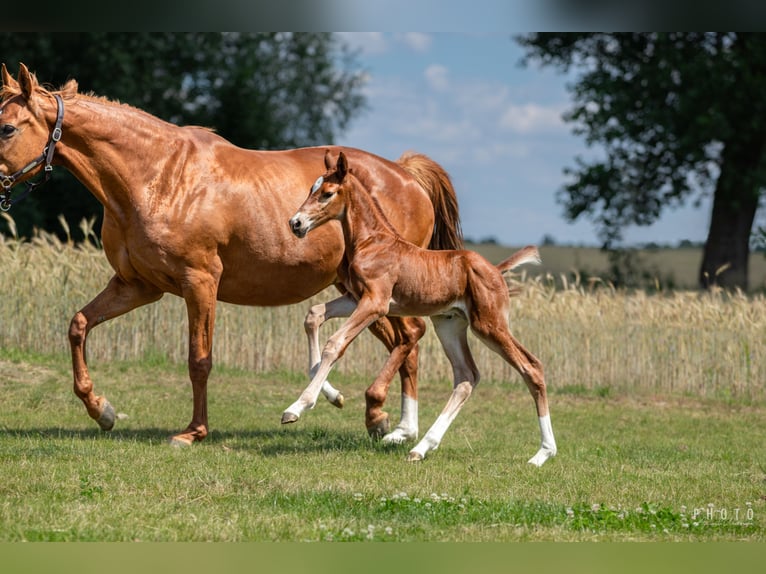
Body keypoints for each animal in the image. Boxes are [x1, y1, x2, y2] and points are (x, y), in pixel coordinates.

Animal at [286, 153, 560, 468]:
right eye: (311, 188)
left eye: (327, 193)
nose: (295, 223)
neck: (372, 242)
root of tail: (495, 270)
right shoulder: (356, 299)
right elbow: (314, 315)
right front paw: (329, 393)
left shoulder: (375, 303)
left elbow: (335, 343)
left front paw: (297, 407)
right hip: (449, 324)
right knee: (466, 376)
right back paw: (421, 447)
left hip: (489, 325)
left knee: (531, 367)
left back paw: (542, 453)